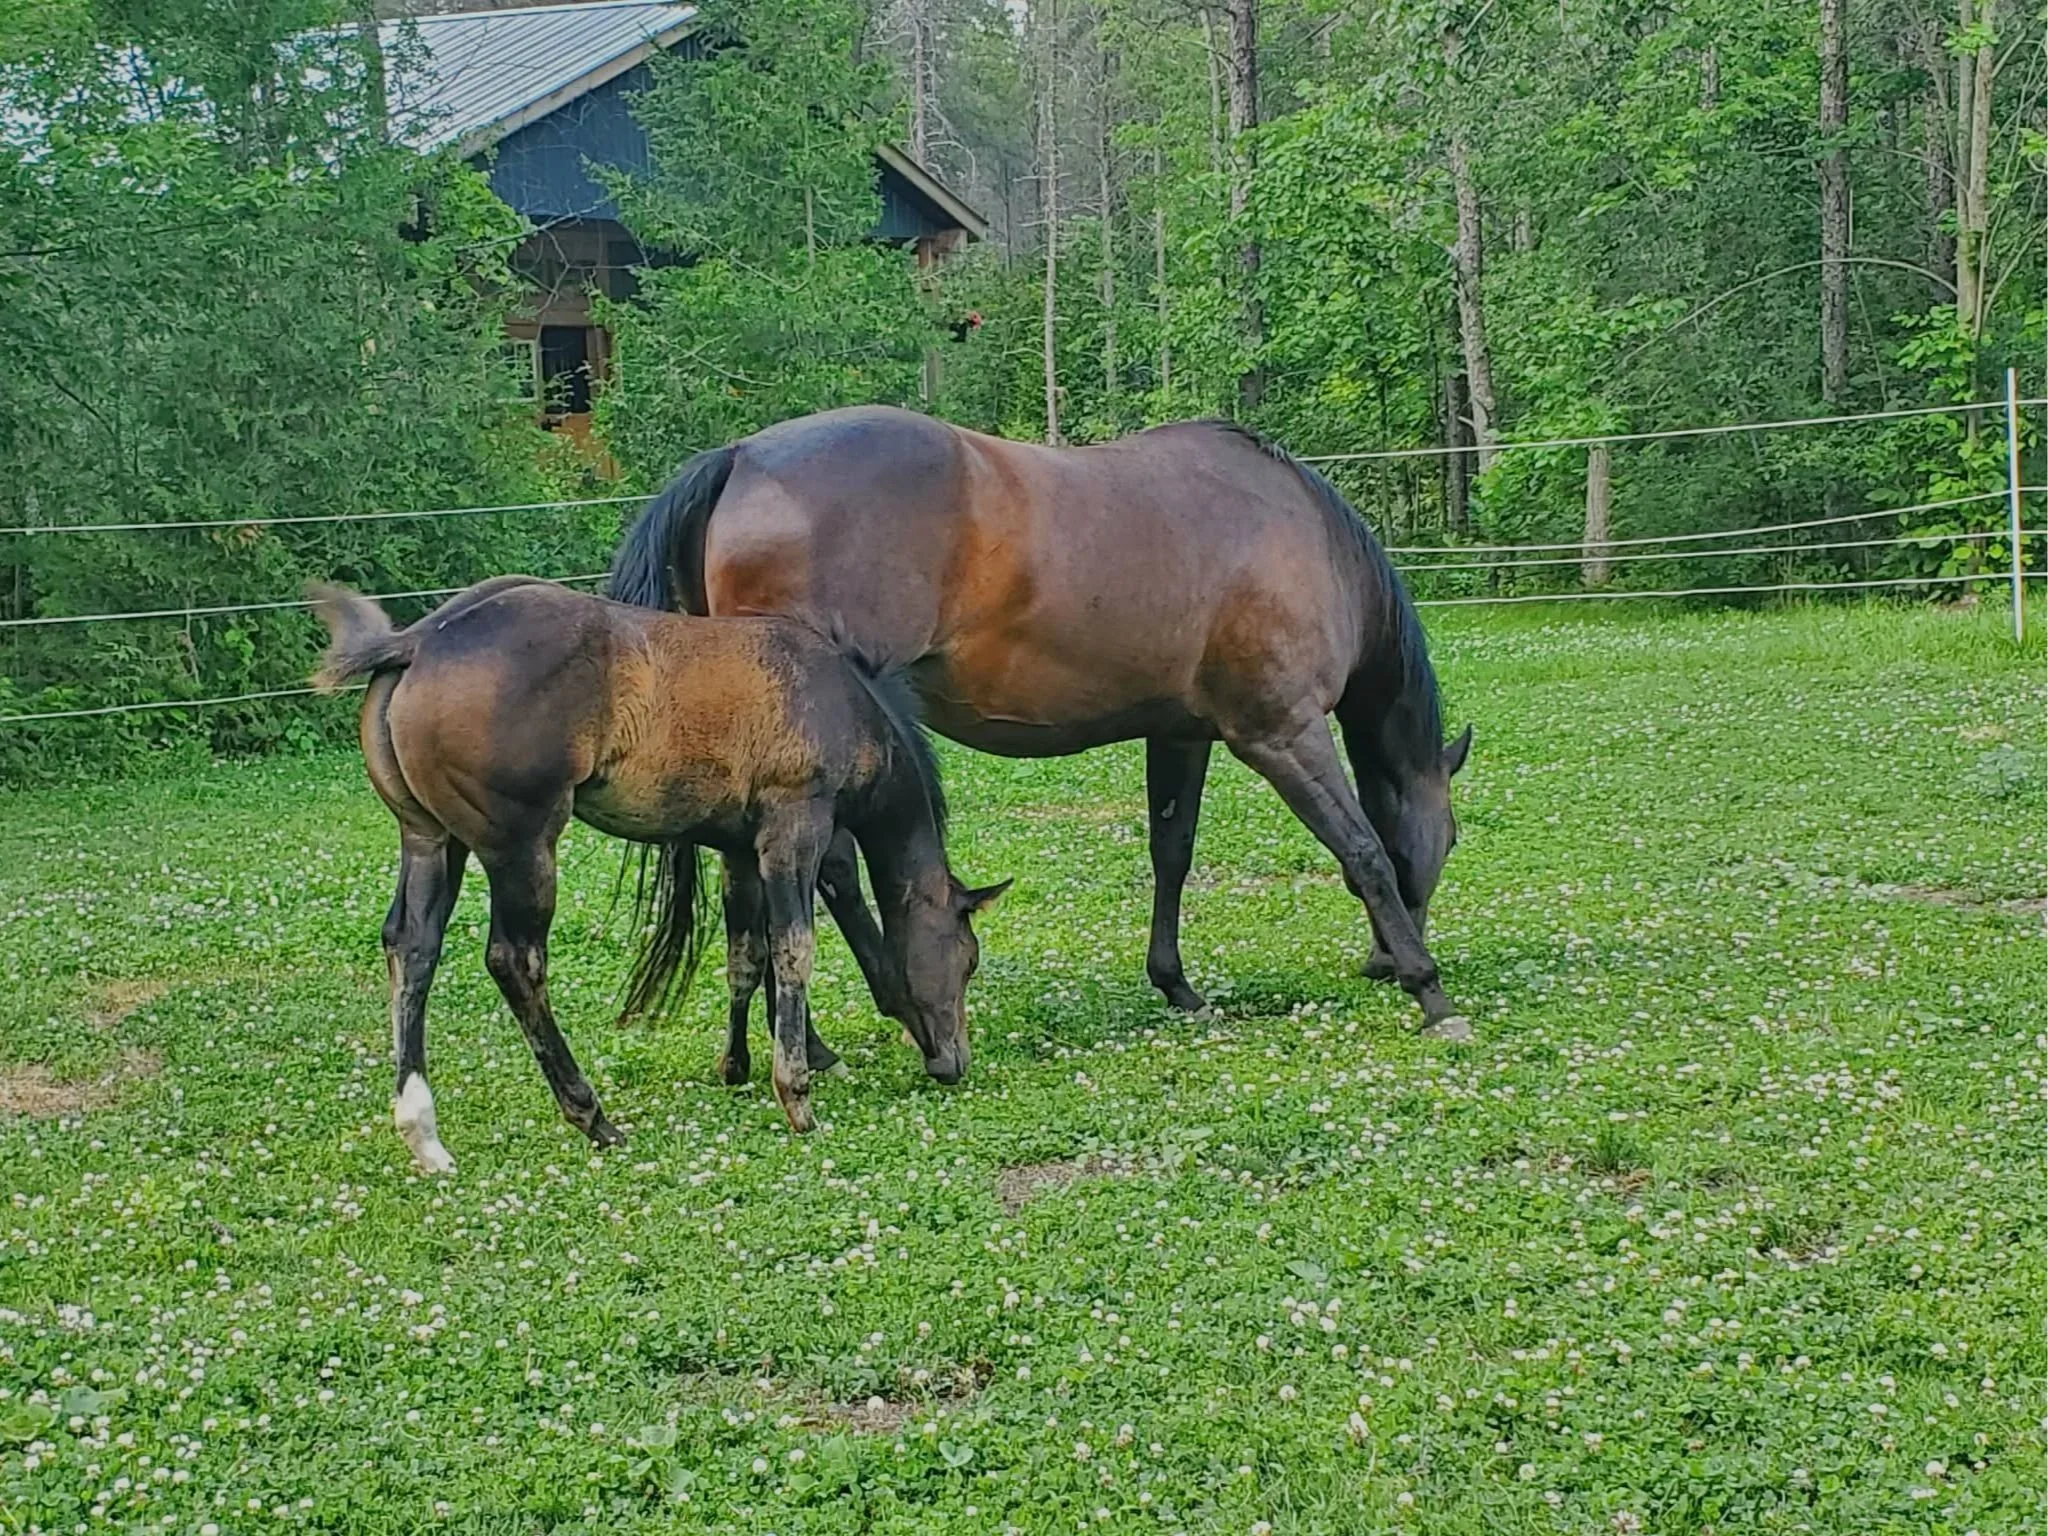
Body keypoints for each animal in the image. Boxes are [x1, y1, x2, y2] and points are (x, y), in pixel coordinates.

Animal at [310, 575, 1009, 1172]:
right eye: (968, 959)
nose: (954, 1062)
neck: (838, 698)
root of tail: (419, 641)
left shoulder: (737, 847)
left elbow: (746, 954)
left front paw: (737, 1065)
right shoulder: (795, 829)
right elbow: (794, 949)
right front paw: (796, 1094)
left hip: (431, 839)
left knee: (412, 949)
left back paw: (424, 1134)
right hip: (522, 846)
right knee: (515, 960)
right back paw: (592, 1116)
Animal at [606, 407, 1473, 1038]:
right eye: (1454, 836)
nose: (1382, 963)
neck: (1304, 537)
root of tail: (740, 458)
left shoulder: (1181, 733)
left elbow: (1172, 853)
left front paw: (1177, 985)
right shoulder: (1282, 733)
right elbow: (1362, 848)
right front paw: (1430, 991)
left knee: (756, 879)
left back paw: (810, 1047)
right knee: (829, 870)